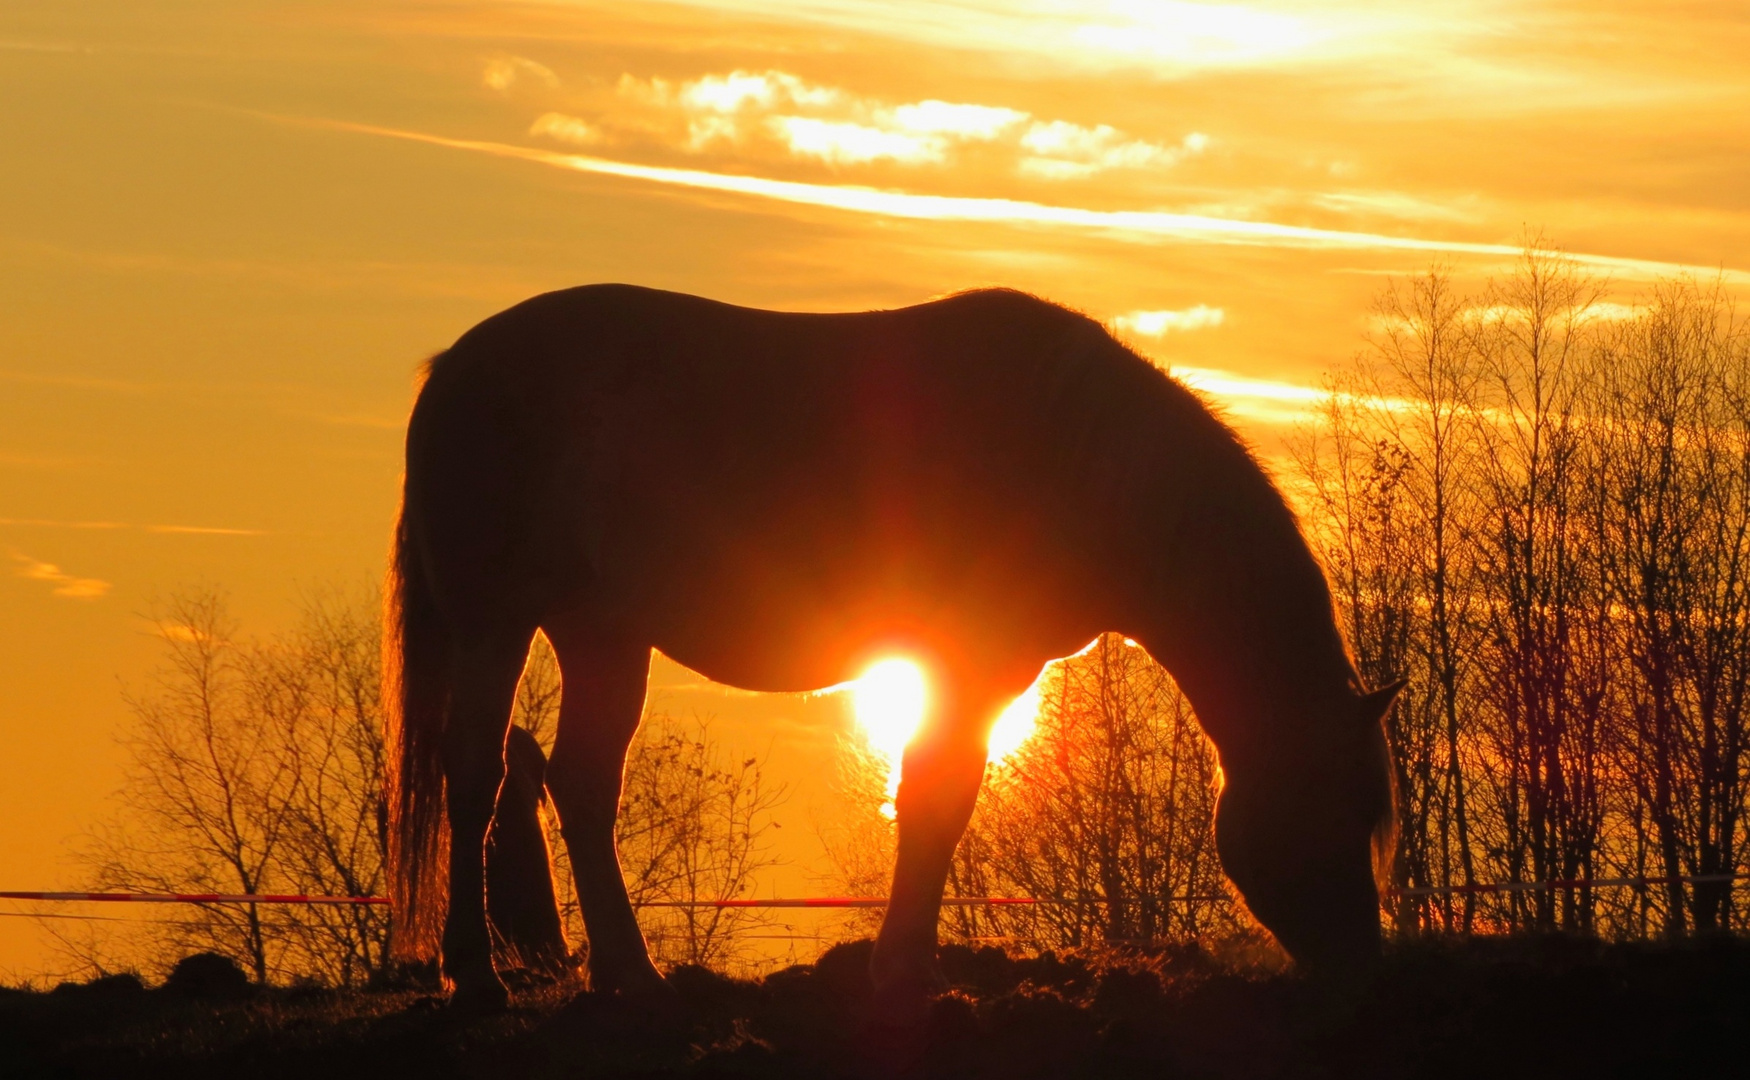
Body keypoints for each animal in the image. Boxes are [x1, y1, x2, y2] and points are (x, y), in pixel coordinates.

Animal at [390, 281, 1400, 1008]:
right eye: (1346, 808)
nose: (1366, 966)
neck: (1076, 454)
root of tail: (455, 368)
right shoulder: (969, 667)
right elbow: (932, 801)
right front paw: (905, 972)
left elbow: (940, 802)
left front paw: (908, 965)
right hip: (495, 624)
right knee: (475, 777)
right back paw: (478, 978)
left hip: (604, 636)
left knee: (582, 786)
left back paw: (629, 977)